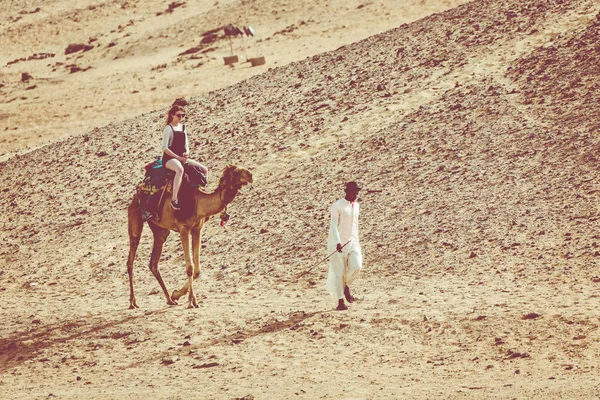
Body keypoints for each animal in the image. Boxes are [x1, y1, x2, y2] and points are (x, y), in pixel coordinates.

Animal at [127, 166, 253, 310]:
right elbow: (190, 268)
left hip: (160, 230)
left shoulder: (197, 229)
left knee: (153, 262)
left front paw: (177, 294)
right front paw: (191, 301)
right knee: (130, 260)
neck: (199, 203)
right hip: (135, 218)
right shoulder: (184, 229)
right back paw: (132, 302)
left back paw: (169, 299)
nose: (250, 175)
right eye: (237, 172)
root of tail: (136, 196)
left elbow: (197, 270)